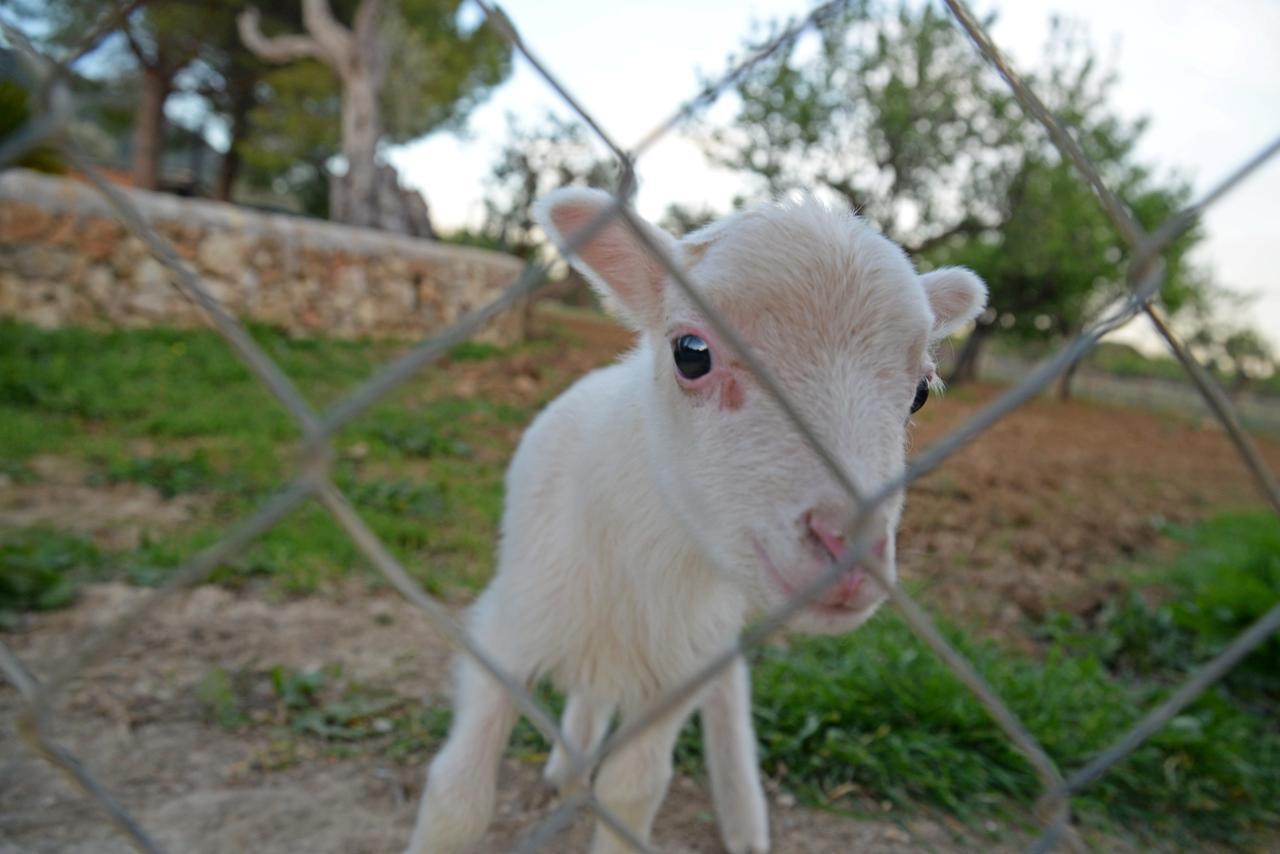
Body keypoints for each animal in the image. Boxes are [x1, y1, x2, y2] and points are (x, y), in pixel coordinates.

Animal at [404, 190, 983, 850]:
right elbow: (458, 792)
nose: (852, 554)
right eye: (691, 353)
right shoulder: (506, 628)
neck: (648, 556)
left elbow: (634, 790)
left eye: (920, 393)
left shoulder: (681, 668)